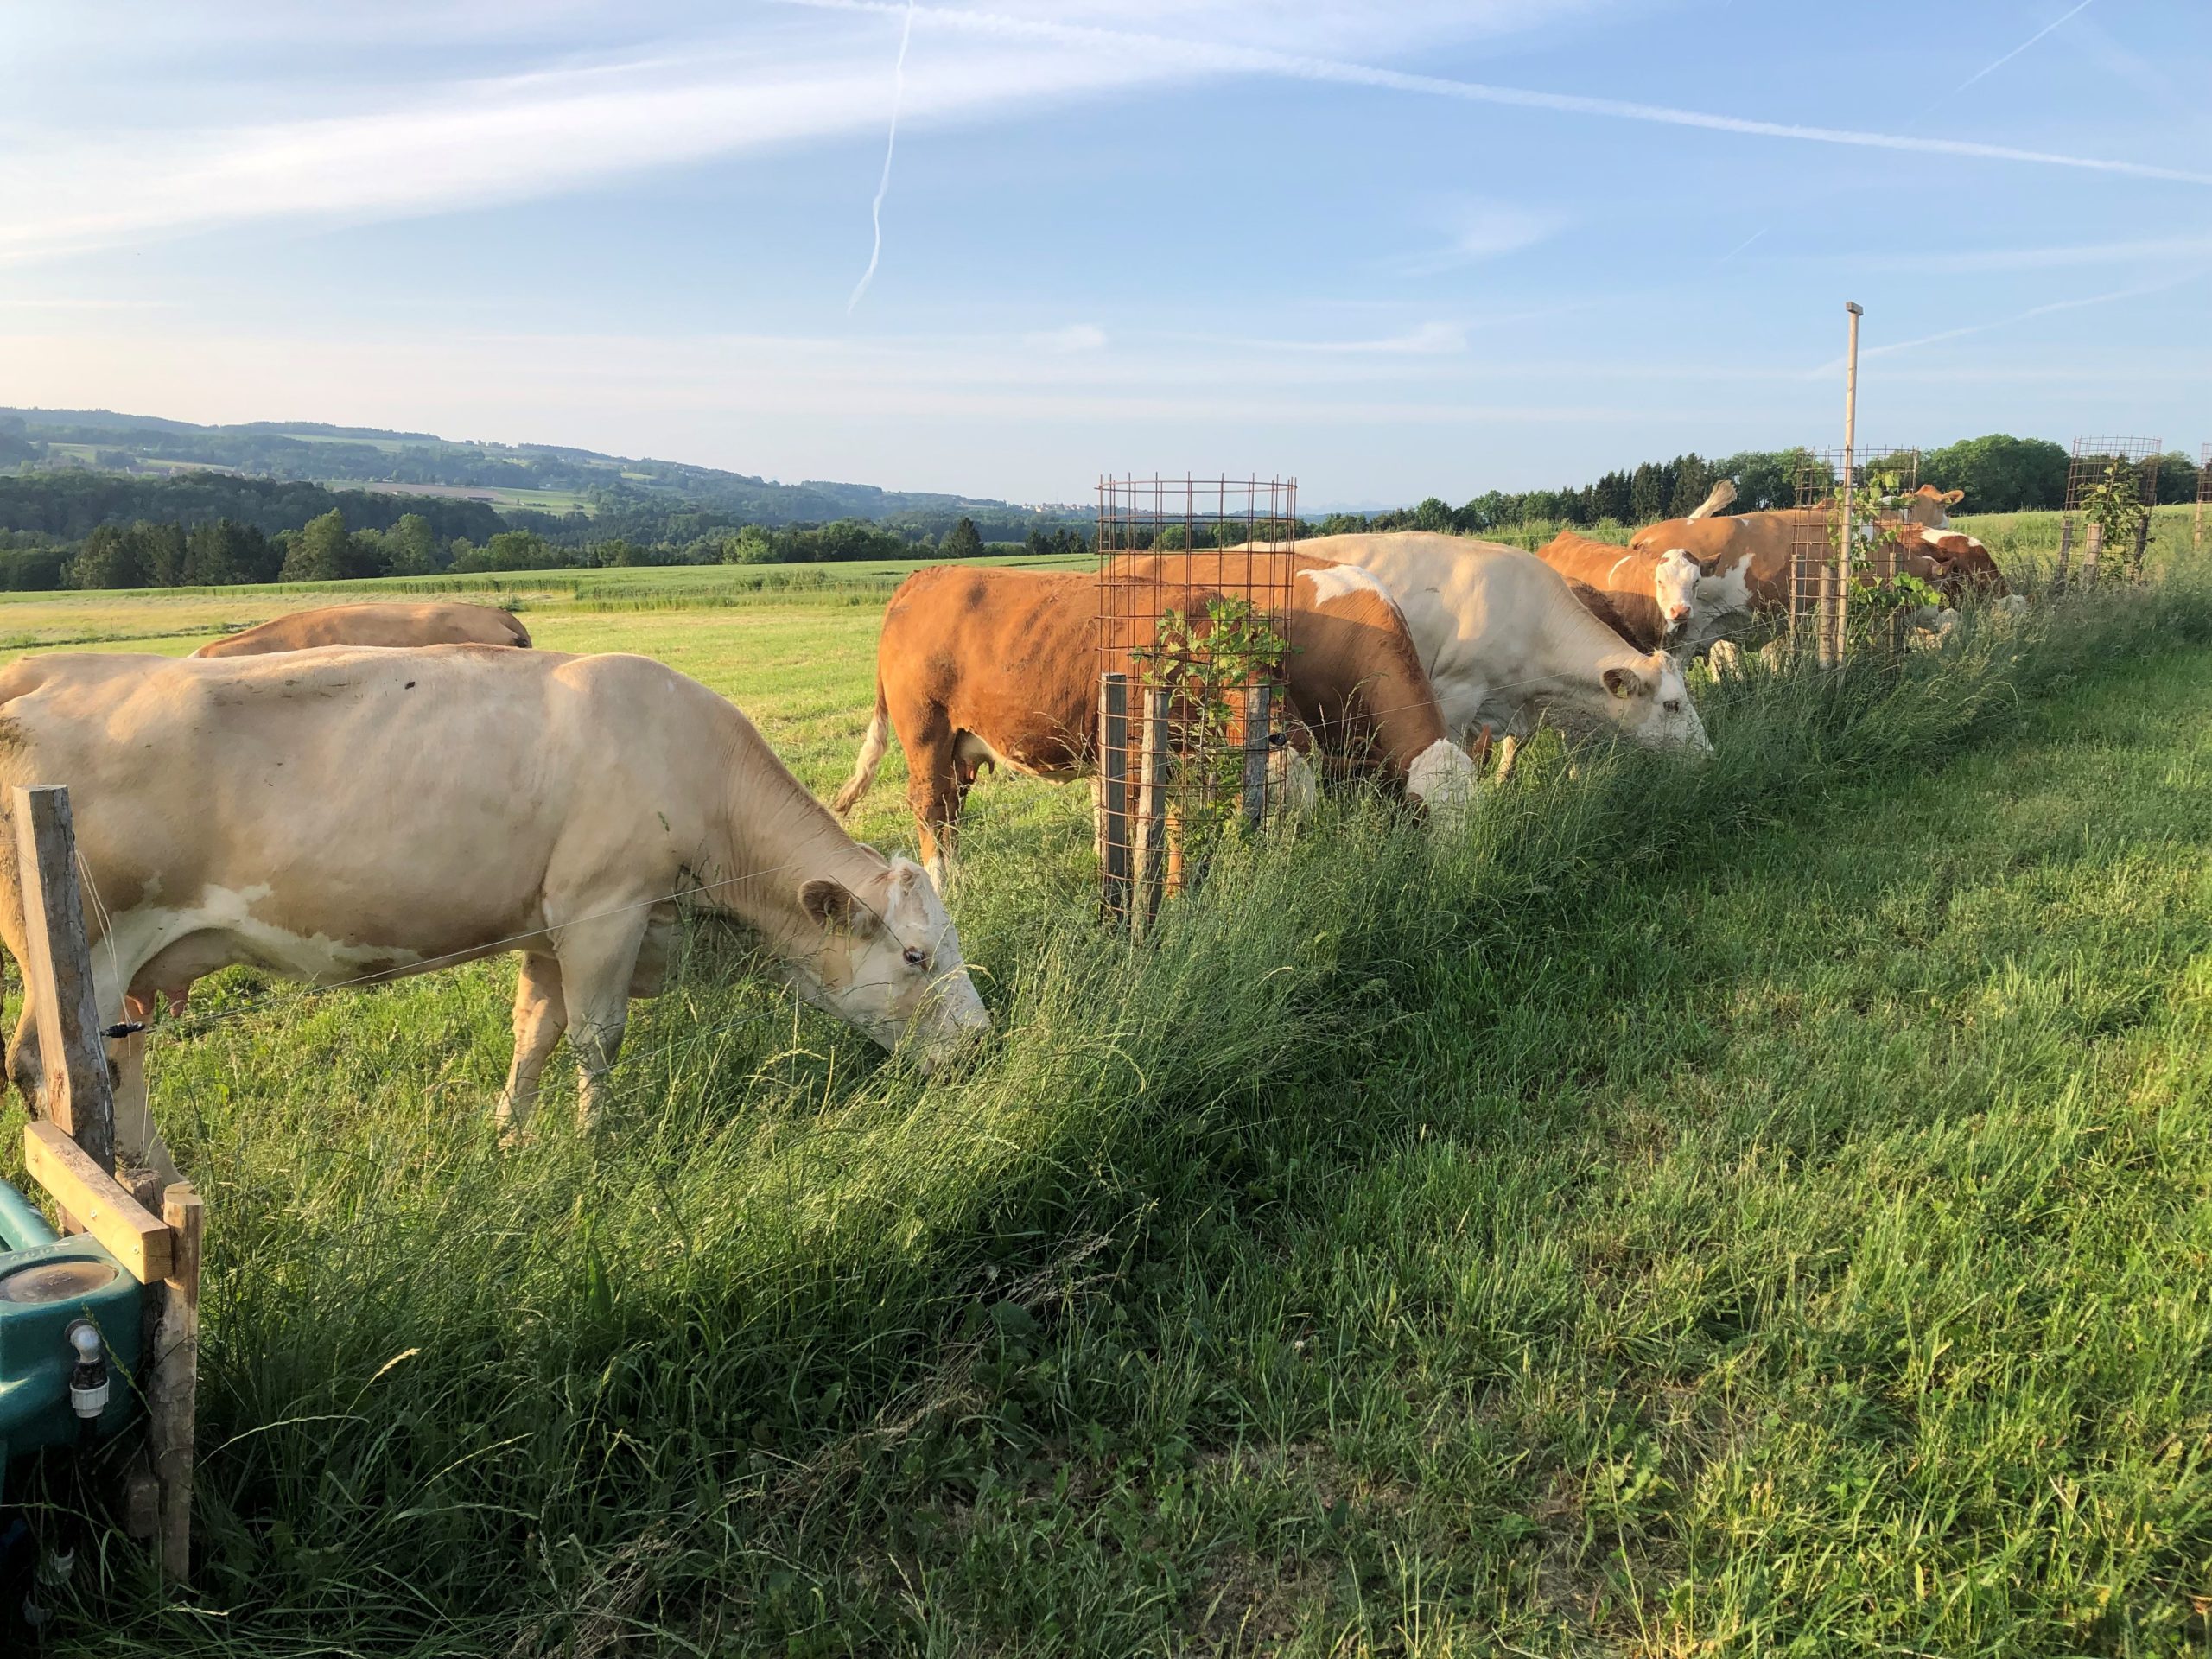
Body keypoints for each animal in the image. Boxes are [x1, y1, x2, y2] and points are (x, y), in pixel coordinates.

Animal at [0, 646, 990, 1183]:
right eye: (914, 956)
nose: (984, 1044)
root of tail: (37, 675)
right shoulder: (603, 908)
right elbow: (595, 1036)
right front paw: (596, 1144)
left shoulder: (546, 924)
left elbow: (534, 1031)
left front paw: (510, 1136)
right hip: (88, 952)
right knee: (69, 1077)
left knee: (104, 1075)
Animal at [833, 559, 1478, 888]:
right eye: (1421, 817)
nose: (1455, 878)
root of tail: (926, 576)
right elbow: (1162, 834)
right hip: (926, 734)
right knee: (930, 813)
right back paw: (946, 893)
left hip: (962, 748)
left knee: (953, 815)